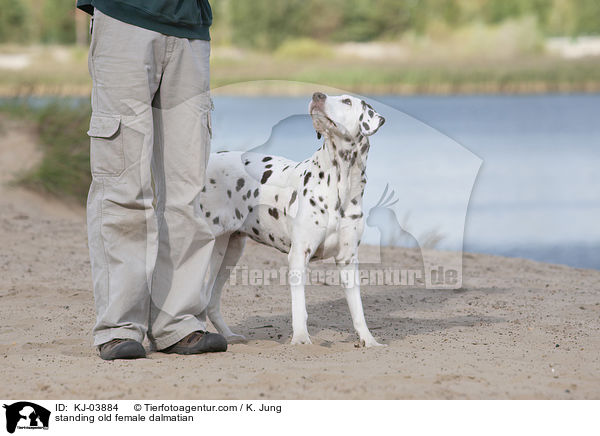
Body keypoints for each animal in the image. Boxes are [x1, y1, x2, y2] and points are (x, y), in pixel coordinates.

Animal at [202, 92, 386, 348]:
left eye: (347, 101)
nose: (317, 95)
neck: (339, 183)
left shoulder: (348, 260)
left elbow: (358, 310)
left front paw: (368, 340)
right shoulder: (299, 256)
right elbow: (299, 307)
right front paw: (300, 339)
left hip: (228, 252)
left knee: (210, 300)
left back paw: (228, 336)